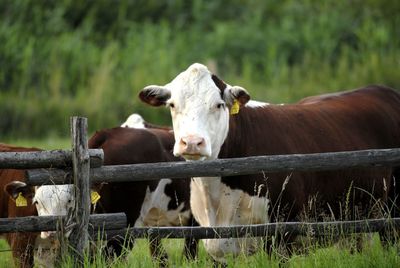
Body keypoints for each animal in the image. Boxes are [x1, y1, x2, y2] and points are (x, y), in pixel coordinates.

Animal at [139, 63, 400, 264]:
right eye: (173, 105)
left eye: (218, 105)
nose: (192, 142)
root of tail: (382, 90)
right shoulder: (215, 246)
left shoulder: (282, 234)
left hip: (392, 213)